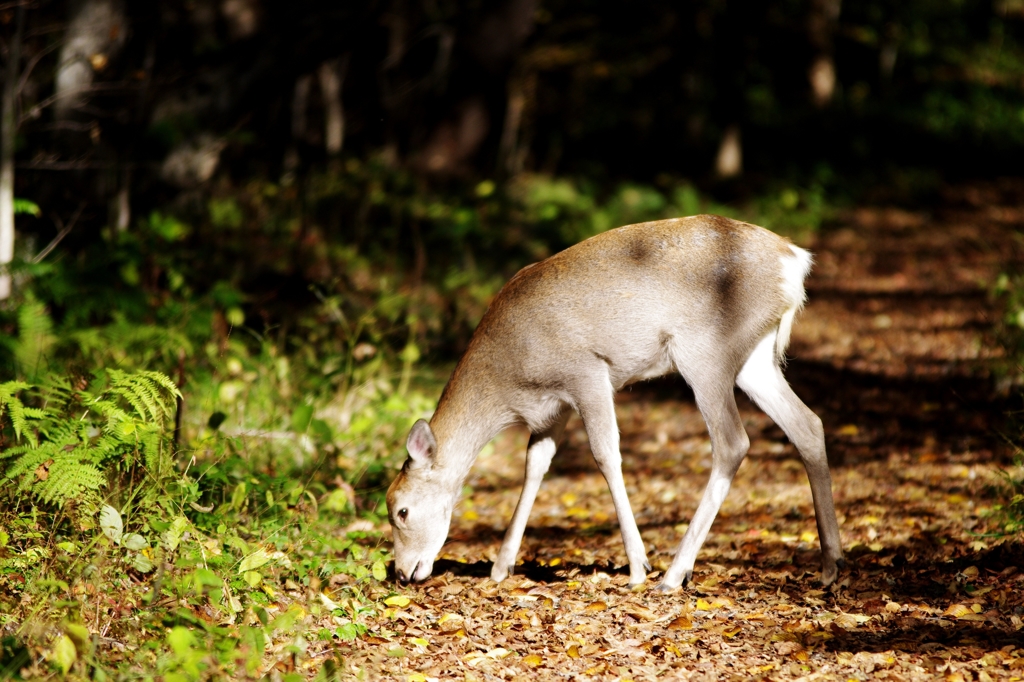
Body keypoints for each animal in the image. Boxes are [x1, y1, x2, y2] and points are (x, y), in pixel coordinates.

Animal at [387, 214, 843, 589]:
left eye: (401, 511)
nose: (404, 573)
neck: (508, 381)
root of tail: (794, 261)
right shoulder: (552, 408)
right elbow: (535, 466)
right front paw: (501, 568)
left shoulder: (586, 371)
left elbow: (605, 454)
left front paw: (638, 566)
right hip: (755, 357)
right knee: (808, 425)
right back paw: (830, 566)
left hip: (703, 351)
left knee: (733, 442)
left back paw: (673, 574)